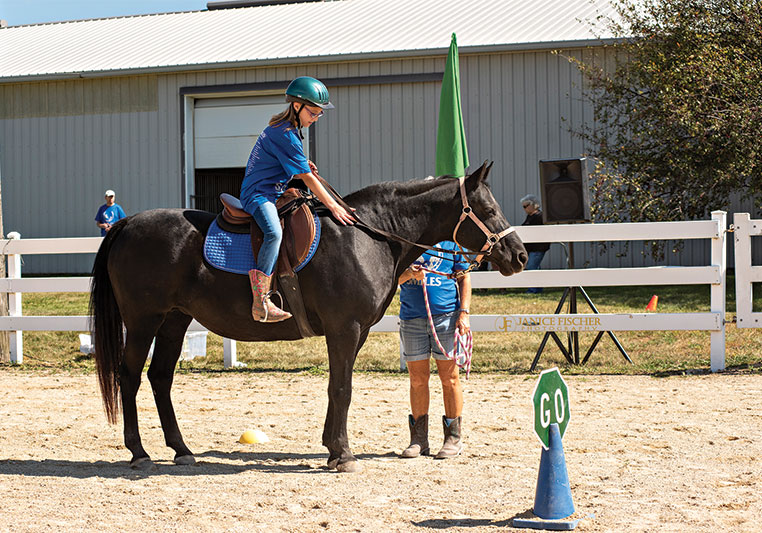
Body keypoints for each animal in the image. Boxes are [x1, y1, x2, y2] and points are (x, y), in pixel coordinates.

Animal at [90, 161, 528, 472]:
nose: (520, 256)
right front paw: (344, 455)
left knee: (160, 378)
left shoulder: (355, 334)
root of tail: (127, 223)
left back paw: (181, 450)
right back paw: (138, 452)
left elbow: (337, 388)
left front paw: (332, 449)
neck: (368, 236)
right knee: (130, 377)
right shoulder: (344, 329)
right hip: (144, 321)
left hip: (174, 322)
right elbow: (343, 389)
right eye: (487, 209)